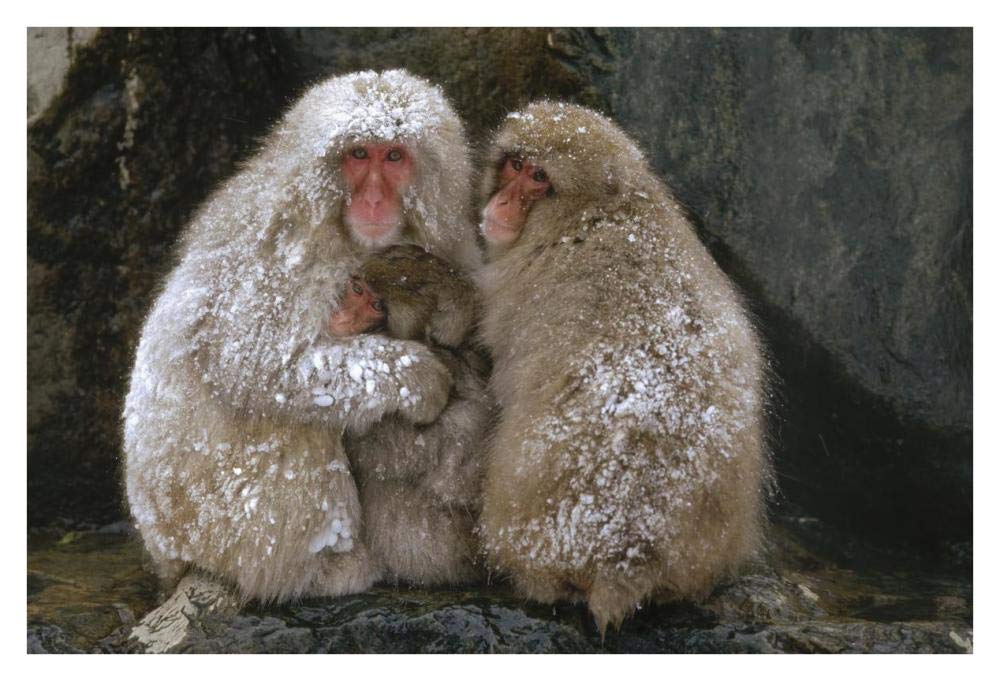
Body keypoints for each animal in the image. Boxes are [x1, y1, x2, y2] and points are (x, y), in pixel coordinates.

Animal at [475, 102, 769, 634]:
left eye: (539, 177)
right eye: (515, 164)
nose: (503, 202)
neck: (597, 214)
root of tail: (629, 552)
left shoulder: (515, 291)